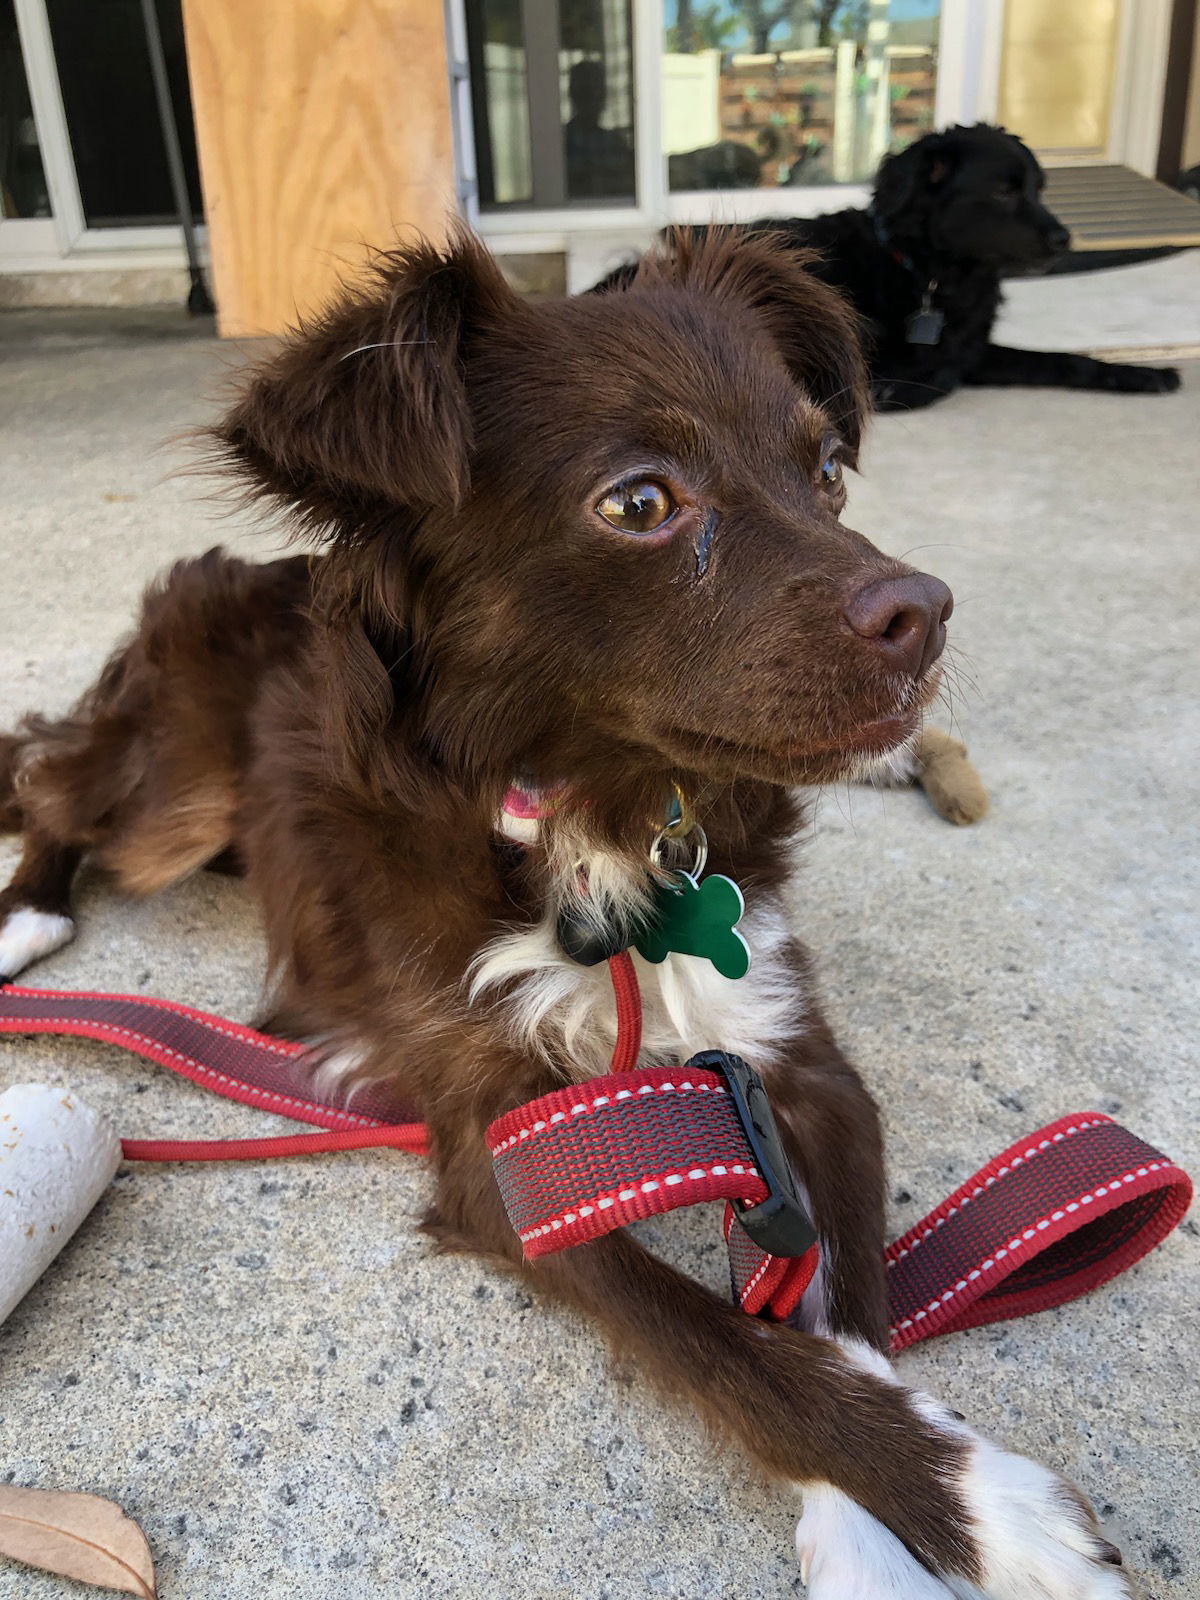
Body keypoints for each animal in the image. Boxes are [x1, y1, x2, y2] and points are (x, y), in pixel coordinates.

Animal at [0, 228, 1126, 1600]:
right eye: (639, 502)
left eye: (825, 472)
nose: (929, 614)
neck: (607, 821)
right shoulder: (509, 1154)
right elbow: (733, 1350)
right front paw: (990, 1514)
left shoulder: (799, 1057)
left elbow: (842, 1309)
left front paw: (889, 1511)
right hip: (176, 786)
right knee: (49, 780)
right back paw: (25, 918)